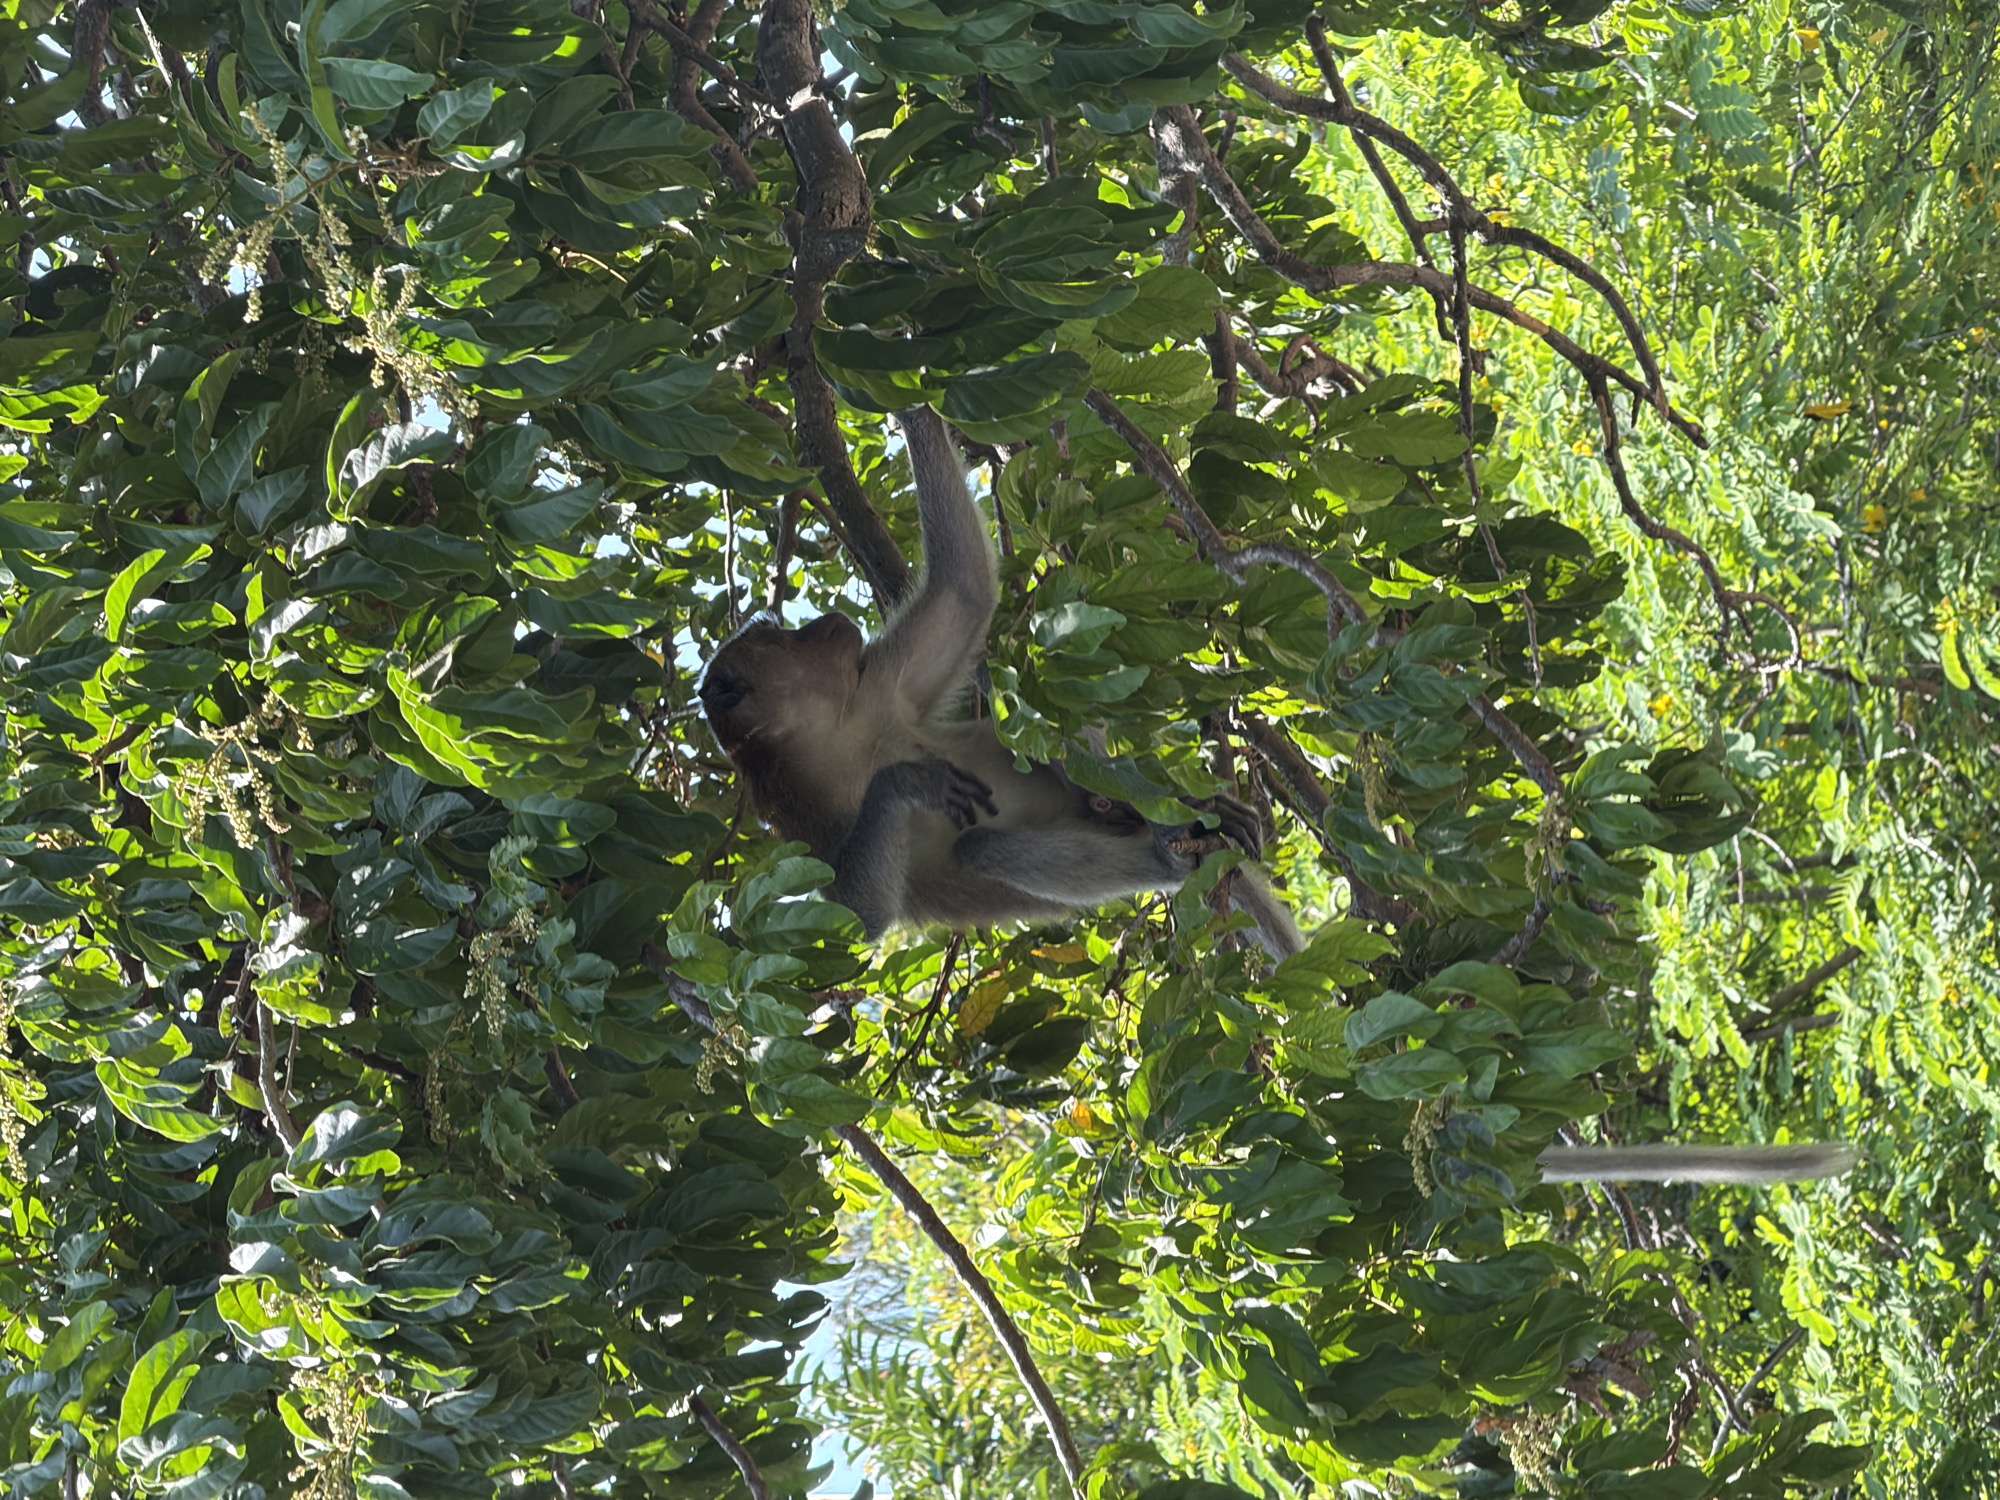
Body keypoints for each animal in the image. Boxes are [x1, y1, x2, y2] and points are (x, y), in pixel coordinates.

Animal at [698, 404, 1304, 960]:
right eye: (782, 637)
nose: (821, 624)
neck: (837, 730)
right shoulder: (803, 808)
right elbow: (851, 925)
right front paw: (905, 782)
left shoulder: (875, 691)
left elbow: (964, 587)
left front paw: (909, 400)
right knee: (985, 848)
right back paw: (1163, 856)